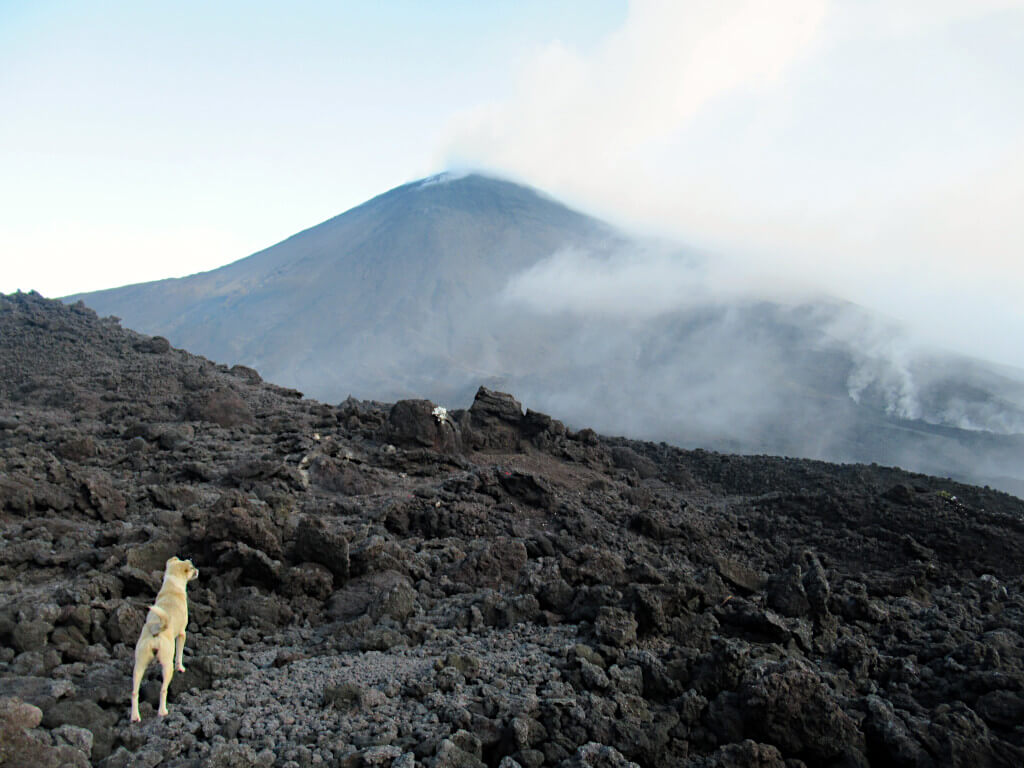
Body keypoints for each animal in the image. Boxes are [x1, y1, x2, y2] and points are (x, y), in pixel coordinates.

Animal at [130, 557, 197, 724]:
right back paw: (163, 711)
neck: (172, 585)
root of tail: (157, 631)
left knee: (134, 692)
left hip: (139, 665)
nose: (197, 570)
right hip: (167, 666)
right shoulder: (182, 634)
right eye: (192, 568)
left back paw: (135, 717)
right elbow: (179, 655)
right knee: (163, 689)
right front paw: (181, 667)